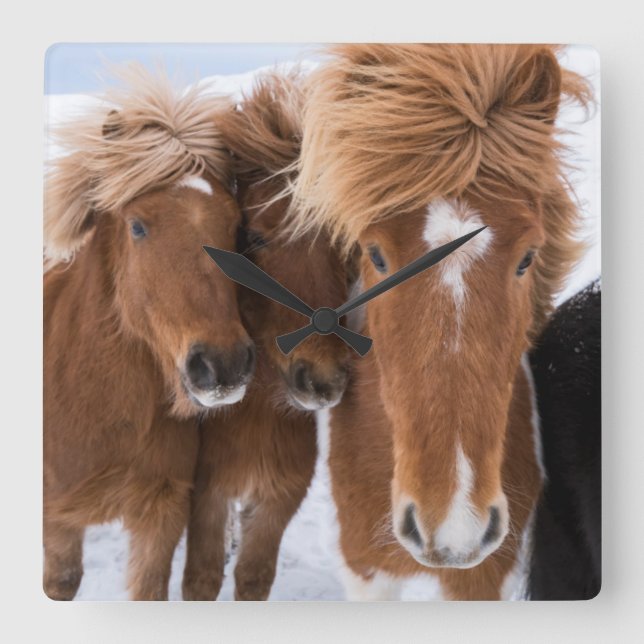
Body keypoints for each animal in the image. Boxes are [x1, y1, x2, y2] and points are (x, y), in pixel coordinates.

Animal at [181, 72, 351, 600]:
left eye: (343, 244)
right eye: (253, 236)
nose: (322, 379)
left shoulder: (279, 498)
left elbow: (254, 577)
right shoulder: (205, 497)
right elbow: (201, 578)